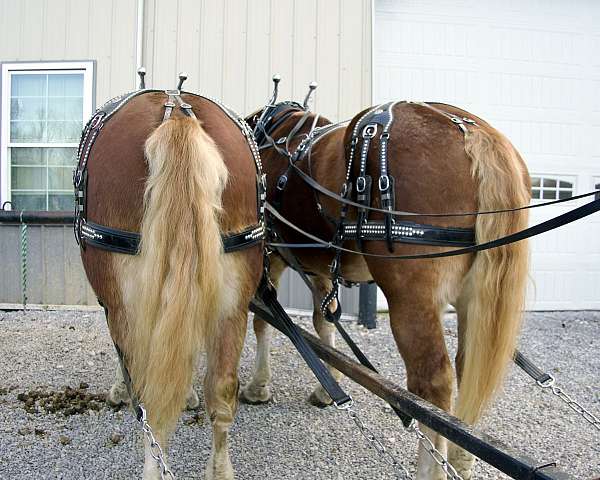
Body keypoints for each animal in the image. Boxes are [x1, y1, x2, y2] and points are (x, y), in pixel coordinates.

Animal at [74, 87, 264, 480]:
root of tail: (176, 112)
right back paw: (219, 469)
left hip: (128, 304)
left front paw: (120, 387)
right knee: (221, 392)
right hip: (233, 303)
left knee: (149, 403)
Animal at [243, 87, 528, 480]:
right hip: (473, 299)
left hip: (411, 298)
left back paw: (432, 468)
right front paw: (326, 388)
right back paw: (461, 459)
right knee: (467, 367)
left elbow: (264, 320)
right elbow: (323, 321)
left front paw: (258, 387)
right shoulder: (319, 266)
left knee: (432, 385)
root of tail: (471, 132)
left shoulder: (272, 252)